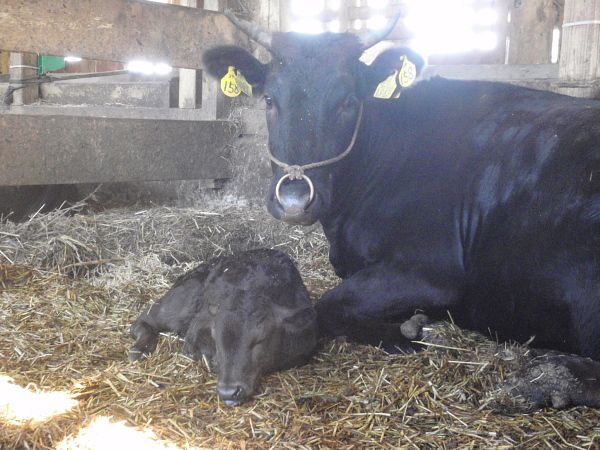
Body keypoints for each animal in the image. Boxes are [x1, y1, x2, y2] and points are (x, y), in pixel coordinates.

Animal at [129, 248, 316, 406]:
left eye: (260, 340)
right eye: (217, 340)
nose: (228, 392)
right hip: (179, 304)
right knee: (144, 319)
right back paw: (139, 349)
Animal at [203, 12, 600, 364]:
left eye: (349, 102)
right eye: (270, 100)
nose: (294, 200)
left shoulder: (431, 269)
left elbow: (326, 305)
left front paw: (407, 332)